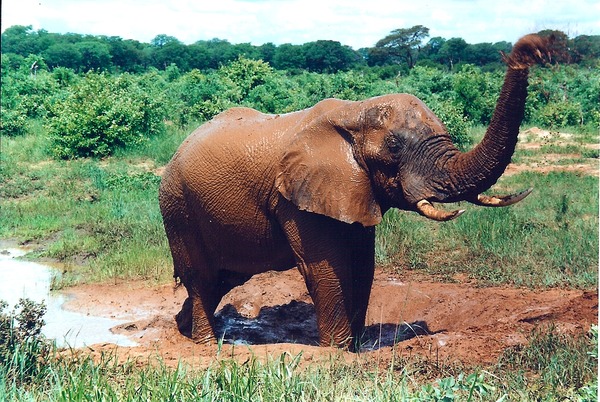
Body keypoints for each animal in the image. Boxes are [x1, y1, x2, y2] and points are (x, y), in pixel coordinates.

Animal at [158, 33, 548, 350]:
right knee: (201, 277)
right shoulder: (295, 198)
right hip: (178, 208)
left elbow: (363, 264)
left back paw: (183, 329)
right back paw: (205, 344)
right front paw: (337, 350)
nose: (533, 46)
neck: (355, 112)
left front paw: (357, 346)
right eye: (394, 147)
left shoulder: (353, 190)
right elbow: (326, 268)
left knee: (223, 278)